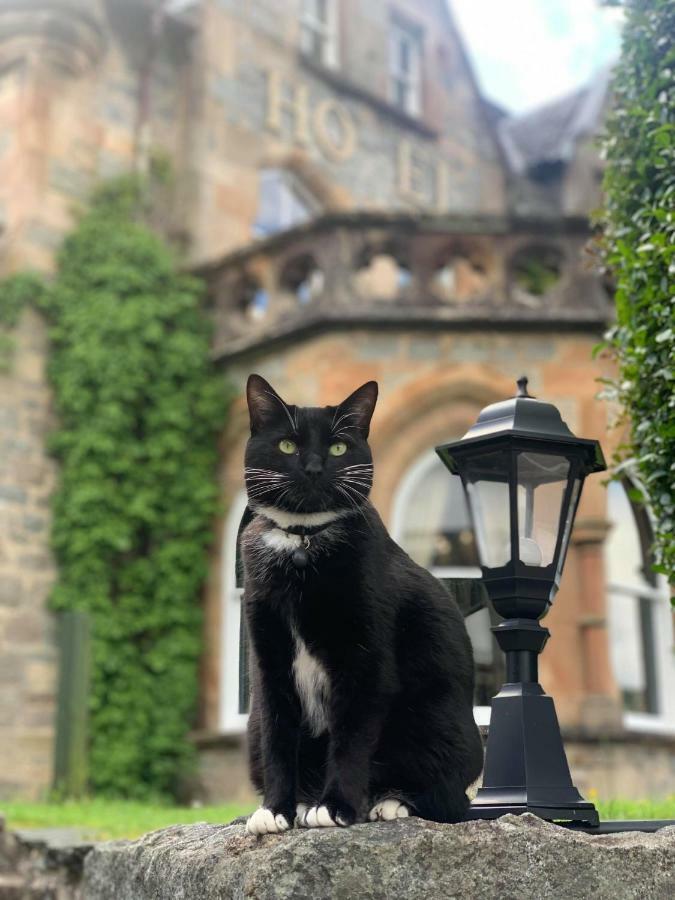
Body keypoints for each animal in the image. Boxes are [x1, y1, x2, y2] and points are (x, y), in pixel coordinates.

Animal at [240, 374, 484, 836]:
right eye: (287, 445)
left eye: (338, 448)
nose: (313, 467)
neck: (303, 543)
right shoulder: (269, 655)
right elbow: (279, 733)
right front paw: (276, 809)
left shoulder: (366, 659)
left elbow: (352, 736)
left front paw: (336, 807)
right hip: (252, 728)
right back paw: (305, 802)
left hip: (439, 721)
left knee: (450, 798)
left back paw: (390, 803)